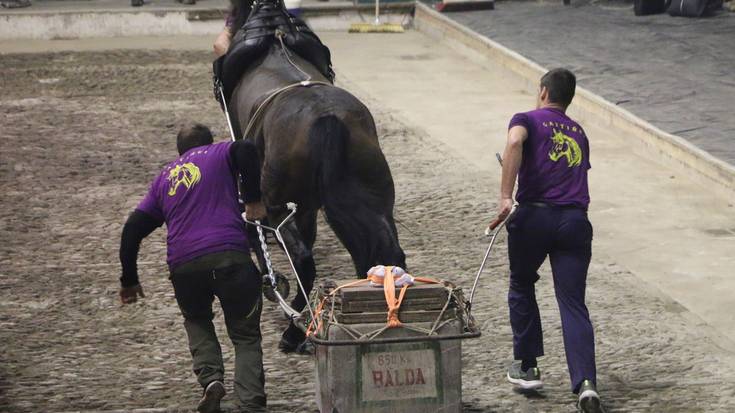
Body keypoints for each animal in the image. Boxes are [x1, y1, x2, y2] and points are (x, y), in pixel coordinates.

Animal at [227, 0, 406, 350]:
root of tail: (327, 119)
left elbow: (256, 235)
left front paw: (272, 282)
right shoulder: (308, 207)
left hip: (277, 204)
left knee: (303, 260)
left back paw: (294, 329)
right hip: (374, 200)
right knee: (384, 253)